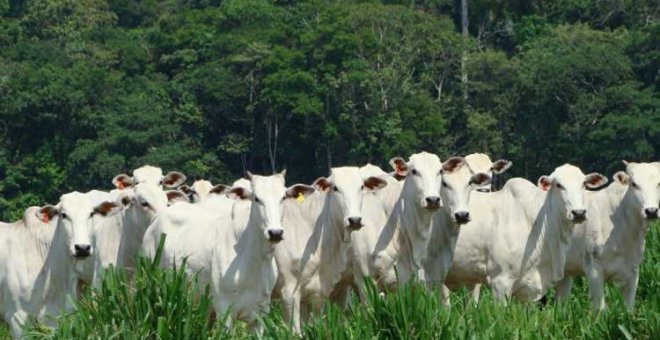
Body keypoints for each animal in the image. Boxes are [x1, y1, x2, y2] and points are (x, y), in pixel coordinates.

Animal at [556, 161, 660, 310]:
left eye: (659, 183)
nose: (651, 211)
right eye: (634, 184)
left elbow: (629, 308)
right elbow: (599, 309)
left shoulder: (633, 272)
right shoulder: (594, 270)